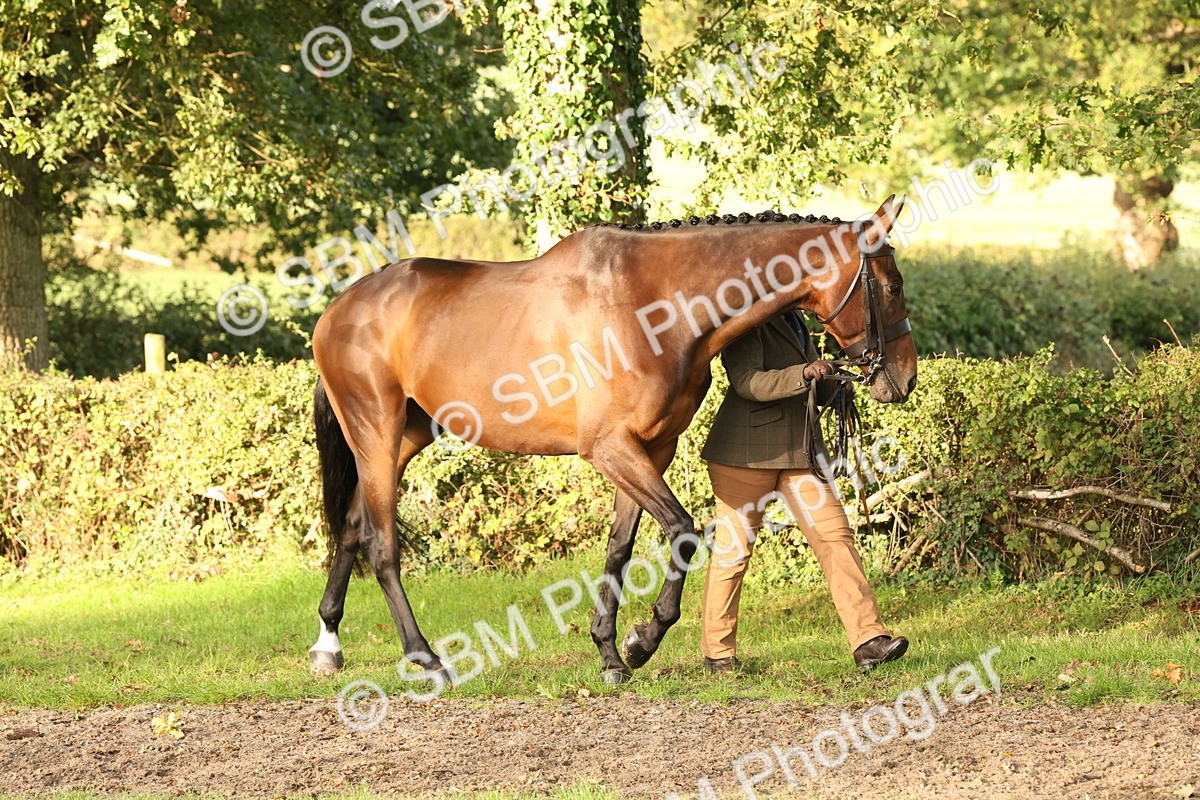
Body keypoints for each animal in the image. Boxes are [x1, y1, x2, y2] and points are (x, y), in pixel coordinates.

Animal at [308, 195, 917, 686]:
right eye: (891, 287)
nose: (904, 379)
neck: (653, 303)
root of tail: (338, 310)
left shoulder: (650, 448)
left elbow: (620, 547)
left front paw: (611, 653)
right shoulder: (610, 448)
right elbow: (683, 531)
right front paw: (642, 640)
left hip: (403, 437)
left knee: (354, 526)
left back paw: (328, 647)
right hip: (377, 433)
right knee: (381, 545)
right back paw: (427, 660)